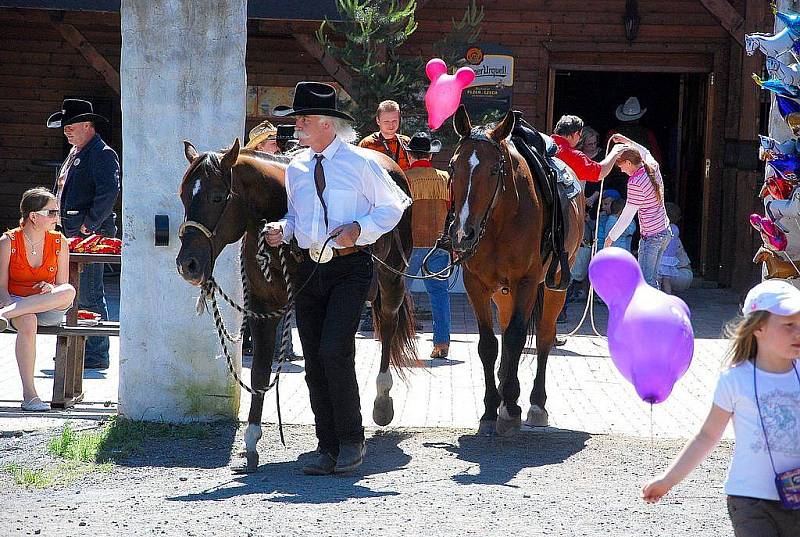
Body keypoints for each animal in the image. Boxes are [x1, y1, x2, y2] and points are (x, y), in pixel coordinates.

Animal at [173, 138, 412, 468]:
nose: (189, 265)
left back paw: (381, 402)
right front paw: (252, 440)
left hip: (391, 281)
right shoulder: (262, 308)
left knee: (386, 325)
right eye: (184, 194)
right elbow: (260, 370)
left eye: (218, 196)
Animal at [446, 105, 584, 436]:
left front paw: (510, 406)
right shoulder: (476, 284)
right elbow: (489, 344)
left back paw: (535, 404)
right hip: (503, 293)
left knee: (544, 337)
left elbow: (516, 338)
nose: (463, 233)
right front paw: (490, 407)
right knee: (508, 331)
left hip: (553, 286)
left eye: (495, 170)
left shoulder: (526, 282)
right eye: (454, 166)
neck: (499, 220)